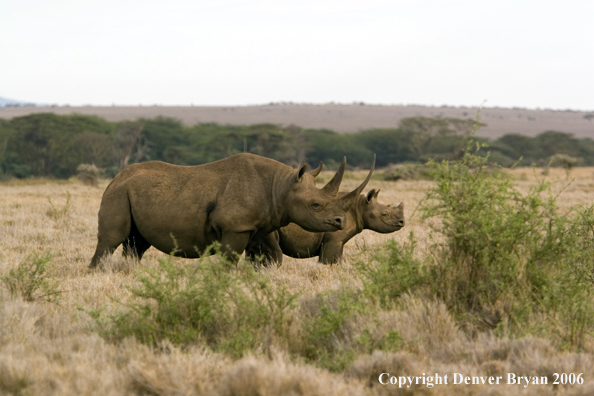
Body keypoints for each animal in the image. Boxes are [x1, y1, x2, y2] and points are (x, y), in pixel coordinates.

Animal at [88, 153, 372, 268]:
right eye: (315, 205)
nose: (340, 221)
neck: (280, 187)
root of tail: (115, 178)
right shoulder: (236, 227)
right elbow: (229, 258)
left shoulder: (257, 226)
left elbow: (269, 256)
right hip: (117, 194)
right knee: (111, 240)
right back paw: (98, 271)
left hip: (131, 193)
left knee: (137, 244)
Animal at [262, 188, 404, 264]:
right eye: (385, 214)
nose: (402, 222)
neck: (360, 207)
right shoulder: (333, 240)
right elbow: (327, 260)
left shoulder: (338, 241)